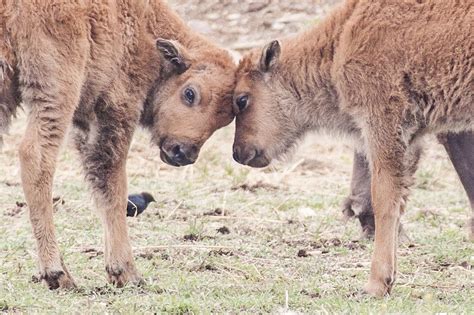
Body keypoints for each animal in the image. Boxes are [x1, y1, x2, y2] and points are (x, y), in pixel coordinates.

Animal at [0, 0, 235, 292]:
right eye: (190, 93)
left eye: (226, 118)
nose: (183, 153)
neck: (146, 30)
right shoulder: (115, 111)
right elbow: (114, 188)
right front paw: (126, 272)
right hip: (58, 87)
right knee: (36, 157)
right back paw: (58, 273)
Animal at [231, 0, 472, 298]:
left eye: (242, 99)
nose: (238, 152)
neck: (340, 42)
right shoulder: (413, 138)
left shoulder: (382, 125)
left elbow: (384, 199)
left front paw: (375, 285)